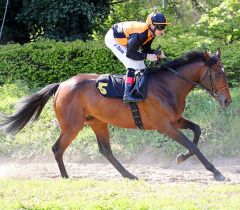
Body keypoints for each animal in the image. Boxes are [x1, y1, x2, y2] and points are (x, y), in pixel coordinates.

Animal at [0, 48, 232, 180]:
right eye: (217, 74)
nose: (227, 101)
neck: (167, 85)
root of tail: (62, 85)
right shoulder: (165, 126)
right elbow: (193, 144)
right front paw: (216, 172)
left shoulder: (175, 120)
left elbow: (197, 130)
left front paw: (181, 158)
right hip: (72, 126)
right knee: (57, 148)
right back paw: (66, 177)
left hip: (97, 123)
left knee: (105, 150)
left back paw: (129, 175)